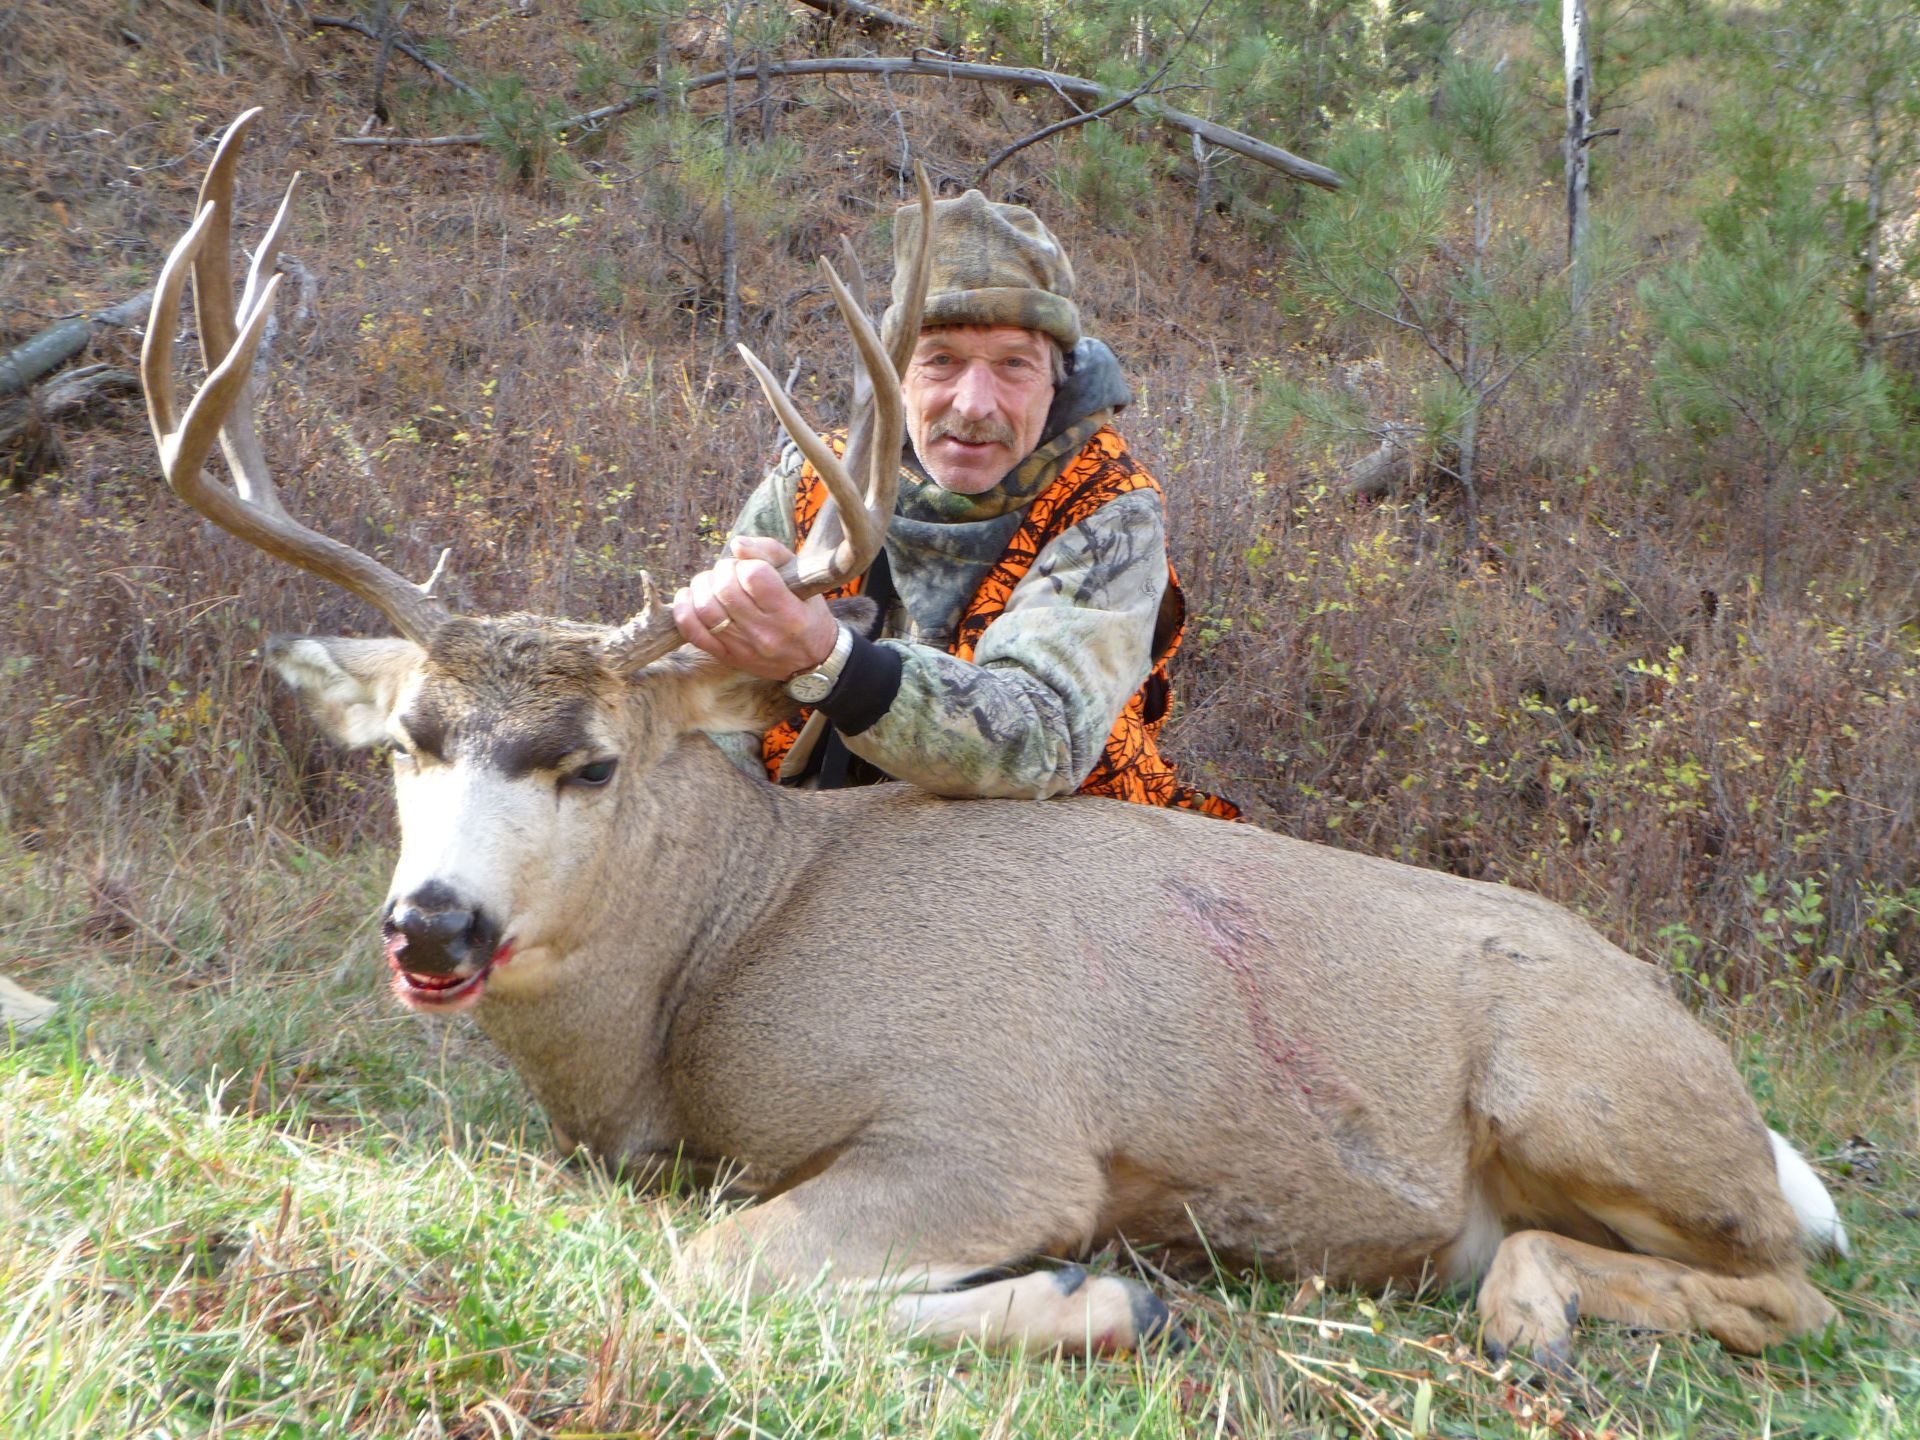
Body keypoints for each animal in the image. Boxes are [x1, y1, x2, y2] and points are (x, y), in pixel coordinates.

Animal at [140, 111, 1848, 1366]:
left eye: (593, 761)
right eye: (403, 743)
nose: (432, 924)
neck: (717, 960)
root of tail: (1728, 1080)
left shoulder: (996, 1128)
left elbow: (718, 1264)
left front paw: (1109, 1293)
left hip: (1573, 1083)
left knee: (1790, 1284)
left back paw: (1530, 1318)